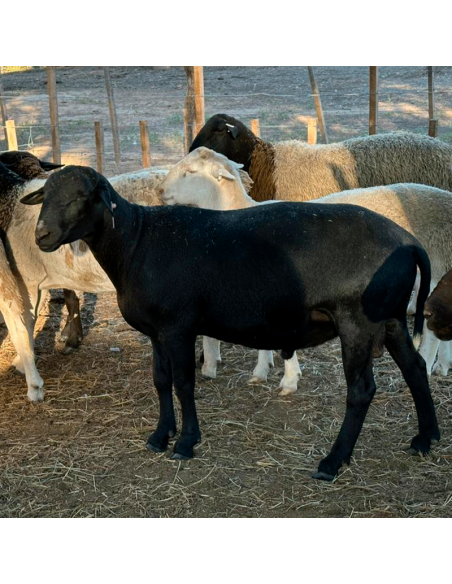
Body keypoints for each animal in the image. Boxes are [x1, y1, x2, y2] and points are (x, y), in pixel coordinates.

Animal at [20, 163, 438, 480]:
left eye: (81, 196)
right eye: (45, 196)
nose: (42, 235)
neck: (136, 241)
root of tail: (410, 243)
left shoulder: (178, 326)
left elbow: (184, 384)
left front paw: (186, 442)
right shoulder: (156, 332)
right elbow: (161, 381)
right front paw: (159, 436)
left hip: (359, 320)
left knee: (362, 390)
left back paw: (333, 462)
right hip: (392, 317)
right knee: (415, 368)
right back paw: (426, 438)